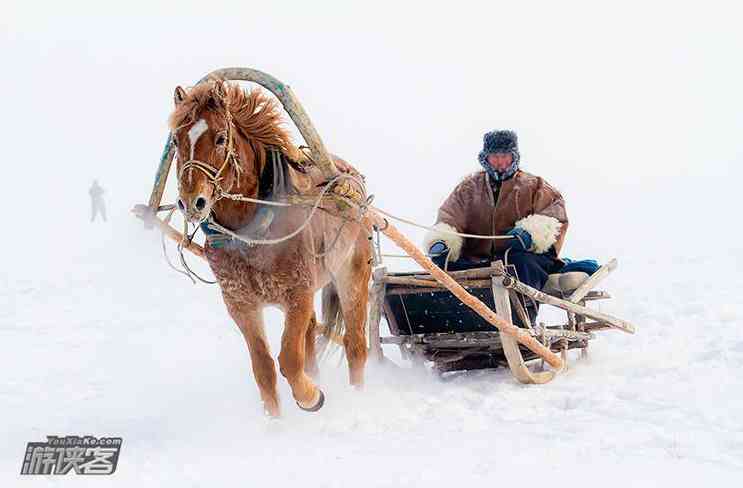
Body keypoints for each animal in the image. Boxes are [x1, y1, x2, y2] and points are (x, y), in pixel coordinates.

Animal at [169, 79, 372, 416]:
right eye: (175, 140)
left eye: (221, 138)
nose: (191, 202)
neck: (252, 234)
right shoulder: (241, 304)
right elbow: (263, 369)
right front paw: (276, 422)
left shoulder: (298, 295)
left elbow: (289, 359)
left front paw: (311, 397)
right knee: (311, 338)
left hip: (352, 274)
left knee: (355, 345)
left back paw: (358, 396)